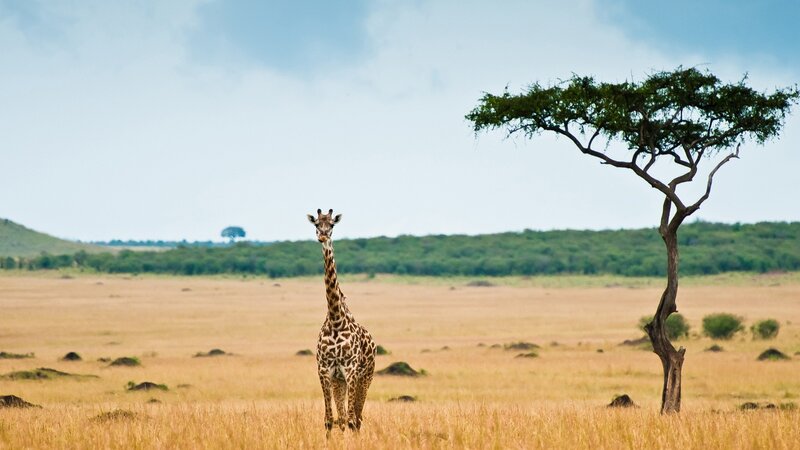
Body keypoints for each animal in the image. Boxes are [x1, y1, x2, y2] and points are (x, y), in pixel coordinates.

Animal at [307, 208, 376, 435]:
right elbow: (330, 419)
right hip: (340, 382)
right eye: (316, 224)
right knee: (344, 417)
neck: (336, 320)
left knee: (358, 417)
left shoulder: (351, 370)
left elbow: (352, 418)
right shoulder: (325, 371)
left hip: (366, 377)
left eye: (332, 225)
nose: (322, 237)